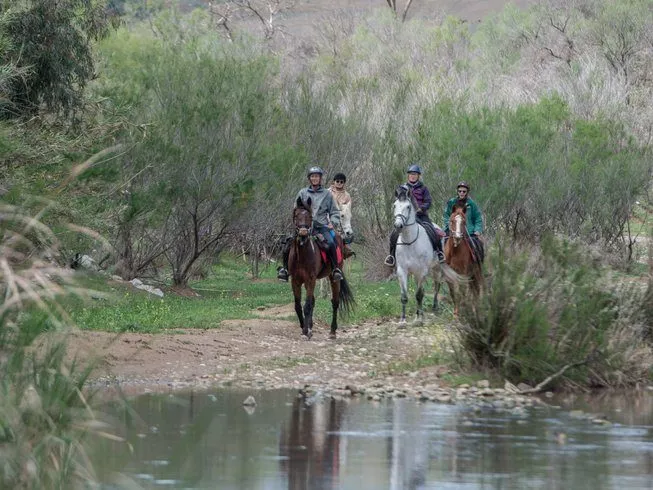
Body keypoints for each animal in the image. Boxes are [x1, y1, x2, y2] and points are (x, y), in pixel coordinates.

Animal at [288, 197, 354, 338]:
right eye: (296, 216)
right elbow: (298, 305)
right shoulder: (295, 281)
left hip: (334, 278)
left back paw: (333, 331)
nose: (303, 233)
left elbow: (307, 305)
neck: (302, 255)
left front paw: (306, 331)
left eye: (309, 216)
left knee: (335, 302)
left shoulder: (310, 280)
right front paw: (305, 327)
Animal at [390, 188, 460, 326]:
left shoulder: (422, 271)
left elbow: (419, 295)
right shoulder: (402, 271)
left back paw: (434, 307)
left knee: (436, 285)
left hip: (436, 268)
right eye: (395, 205)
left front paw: (418, 319)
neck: (410, 242)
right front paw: (403, 320)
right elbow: (404, 296)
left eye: (408, 206)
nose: (398, 225)